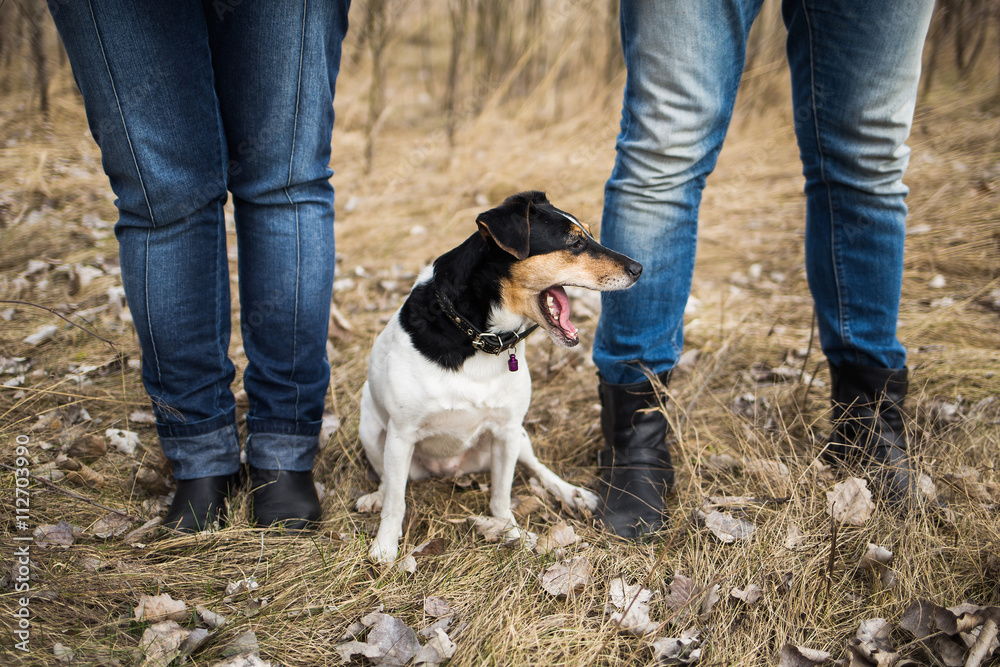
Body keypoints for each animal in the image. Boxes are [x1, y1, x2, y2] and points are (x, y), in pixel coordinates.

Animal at [356, 190, 644, 560]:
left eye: (590, 235)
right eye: (575, 243)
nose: (640, 268)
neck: (479, 338)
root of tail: (452, 470)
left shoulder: (507, 431)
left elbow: (501, 496)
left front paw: (512, 532)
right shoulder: (401, 435)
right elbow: (396, 501)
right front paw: (385, 545)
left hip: (518, 437)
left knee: (536, 466)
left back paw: (571, 493)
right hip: (371, 430)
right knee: (386, 480)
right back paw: (375, 496)